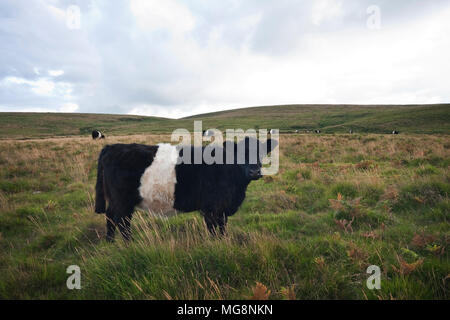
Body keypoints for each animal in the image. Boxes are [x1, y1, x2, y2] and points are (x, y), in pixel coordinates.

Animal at [95, 136, 278, 241]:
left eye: (262, 153)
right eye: (240, 153)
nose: (254, 171)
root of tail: (111, 147)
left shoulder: (222, 209)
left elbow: (222, 228)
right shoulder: (212, 208)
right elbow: (214, 230)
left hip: (116, 201)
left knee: (111, 218)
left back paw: (112, 244)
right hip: (122, 201)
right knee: (122, 222)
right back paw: (128, 245)